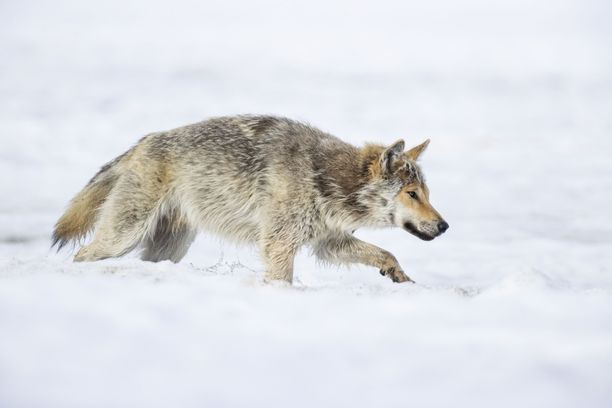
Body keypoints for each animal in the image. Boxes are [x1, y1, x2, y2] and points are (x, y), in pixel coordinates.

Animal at [52, 115, 448, 284]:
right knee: (81, 254)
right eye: (411, 194)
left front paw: (400, 277)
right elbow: (281, 280)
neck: (326, 177)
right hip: (123, 236)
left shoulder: (328, 243)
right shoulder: (279, 244)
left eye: (427, 194)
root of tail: (144, 141)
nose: (444, 226)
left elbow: (387, 253)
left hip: (168, 248)